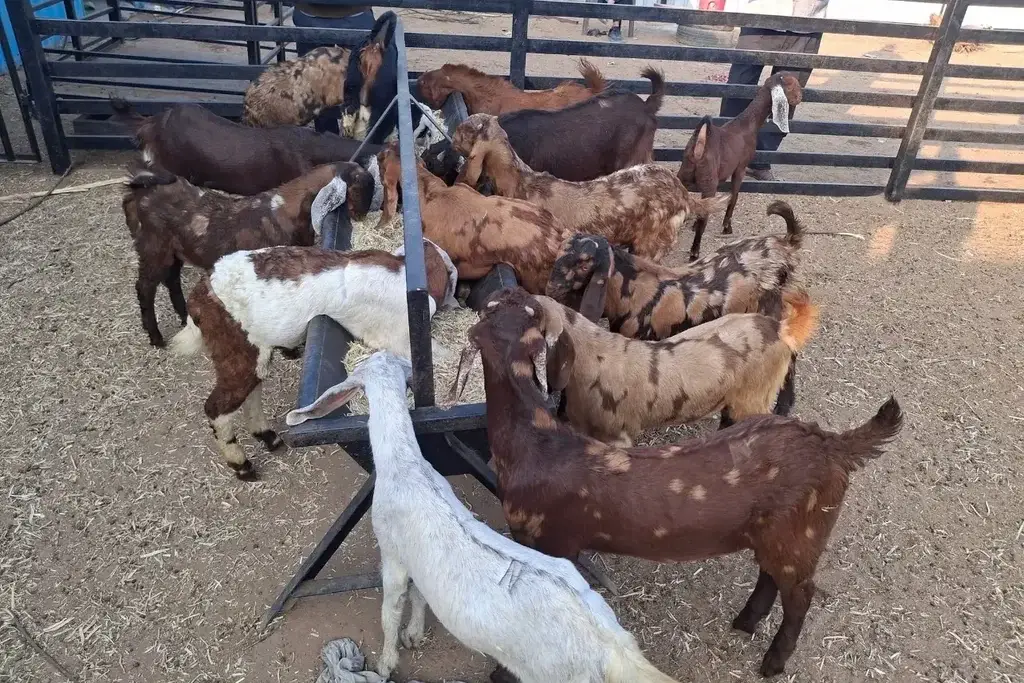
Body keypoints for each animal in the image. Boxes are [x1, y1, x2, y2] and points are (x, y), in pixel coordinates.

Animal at [124, 160, 373, 348]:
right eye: (360, 189)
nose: (362, 215)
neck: (288, 209)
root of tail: (139, 189)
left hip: (174, 251)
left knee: (171, 279)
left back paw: (185, 315)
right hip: (154, 247)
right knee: (145, 287)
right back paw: (156, 337)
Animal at [168, 241, 457, 479]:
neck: (401, 270)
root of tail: (198, 300)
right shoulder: (396, 336)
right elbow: (438, 356)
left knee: (250, 392)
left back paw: (269, 438)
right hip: (237, 351)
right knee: (217, 406)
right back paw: (243, 466)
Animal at [285, 351, 679, 683]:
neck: (404, 464)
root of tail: (613, 650)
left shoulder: (393, 553)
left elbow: (390, 610)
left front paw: (386, 663)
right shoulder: (417, 561)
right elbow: (420, 595)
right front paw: (414, 634)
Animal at [677, 72, 803, 259]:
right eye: (793, 85)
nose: (801, 97)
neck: (747, 124)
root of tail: (698, 147)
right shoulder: (740, 168)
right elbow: (734, 197)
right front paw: (727, 227)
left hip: (682, 177)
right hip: (709, 183)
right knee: (703, 220)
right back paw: (695, 252)